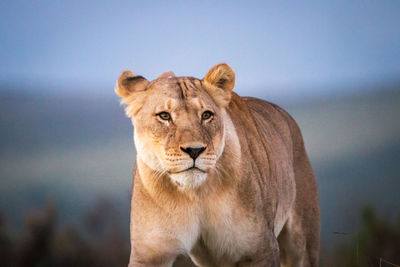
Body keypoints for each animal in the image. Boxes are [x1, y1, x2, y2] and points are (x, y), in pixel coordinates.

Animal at [115, 63, 318, 266]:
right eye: (164, 116)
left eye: (206, 115)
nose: (194, 150)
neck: (195, 194)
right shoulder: (150, 253)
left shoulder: (261, 249)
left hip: (302, 242)